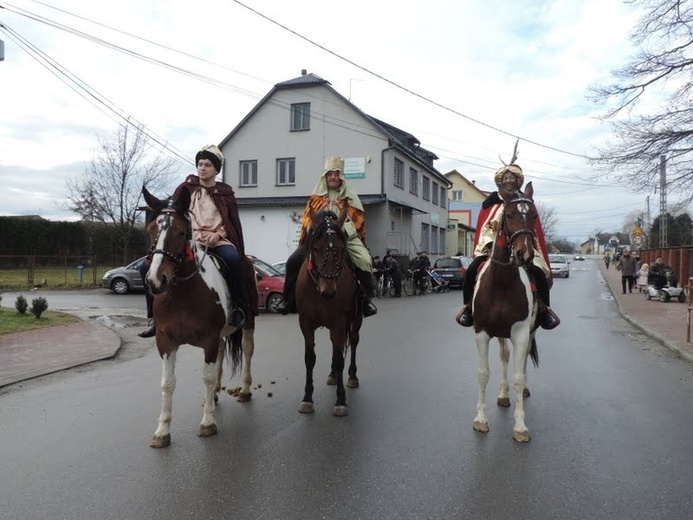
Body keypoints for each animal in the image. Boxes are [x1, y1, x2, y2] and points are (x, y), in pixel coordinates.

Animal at [142, 189, 255, 448]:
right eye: (151, 229)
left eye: (181, 232)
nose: (156, 280)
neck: (183, 292)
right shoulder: (165, 342)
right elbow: (168, 383)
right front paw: (162, 431)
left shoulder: (209, 339)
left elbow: (207, 377)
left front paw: (208, 423)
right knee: (222, 354)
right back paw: (213, 397)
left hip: (248, 323)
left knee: (247, 350)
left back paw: (244, 390)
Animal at [296, 206, 364, 414]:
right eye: (316, 248)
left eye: (342, 249)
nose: (329, 291)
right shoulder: (306, 323)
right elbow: (309, 358)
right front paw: (307, 398)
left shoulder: (339, 322)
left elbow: (340, 358)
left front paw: (340, 401)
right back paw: (333, 375)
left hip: (356, 319)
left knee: (353, 343)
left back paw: (352, 377)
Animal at [470, 183, 540, 442]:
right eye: (508, 215)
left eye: (534, 216)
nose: (525, 255)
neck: (502, 282)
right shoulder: (481, 332)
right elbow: (483, 373)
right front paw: (481, 419)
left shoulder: (520, 332)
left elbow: (518, 376)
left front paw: (520, 427)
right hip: (500, 333)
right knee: (504, 357)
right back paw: (502, 394)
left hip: (529, 332)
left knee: (522, 361)